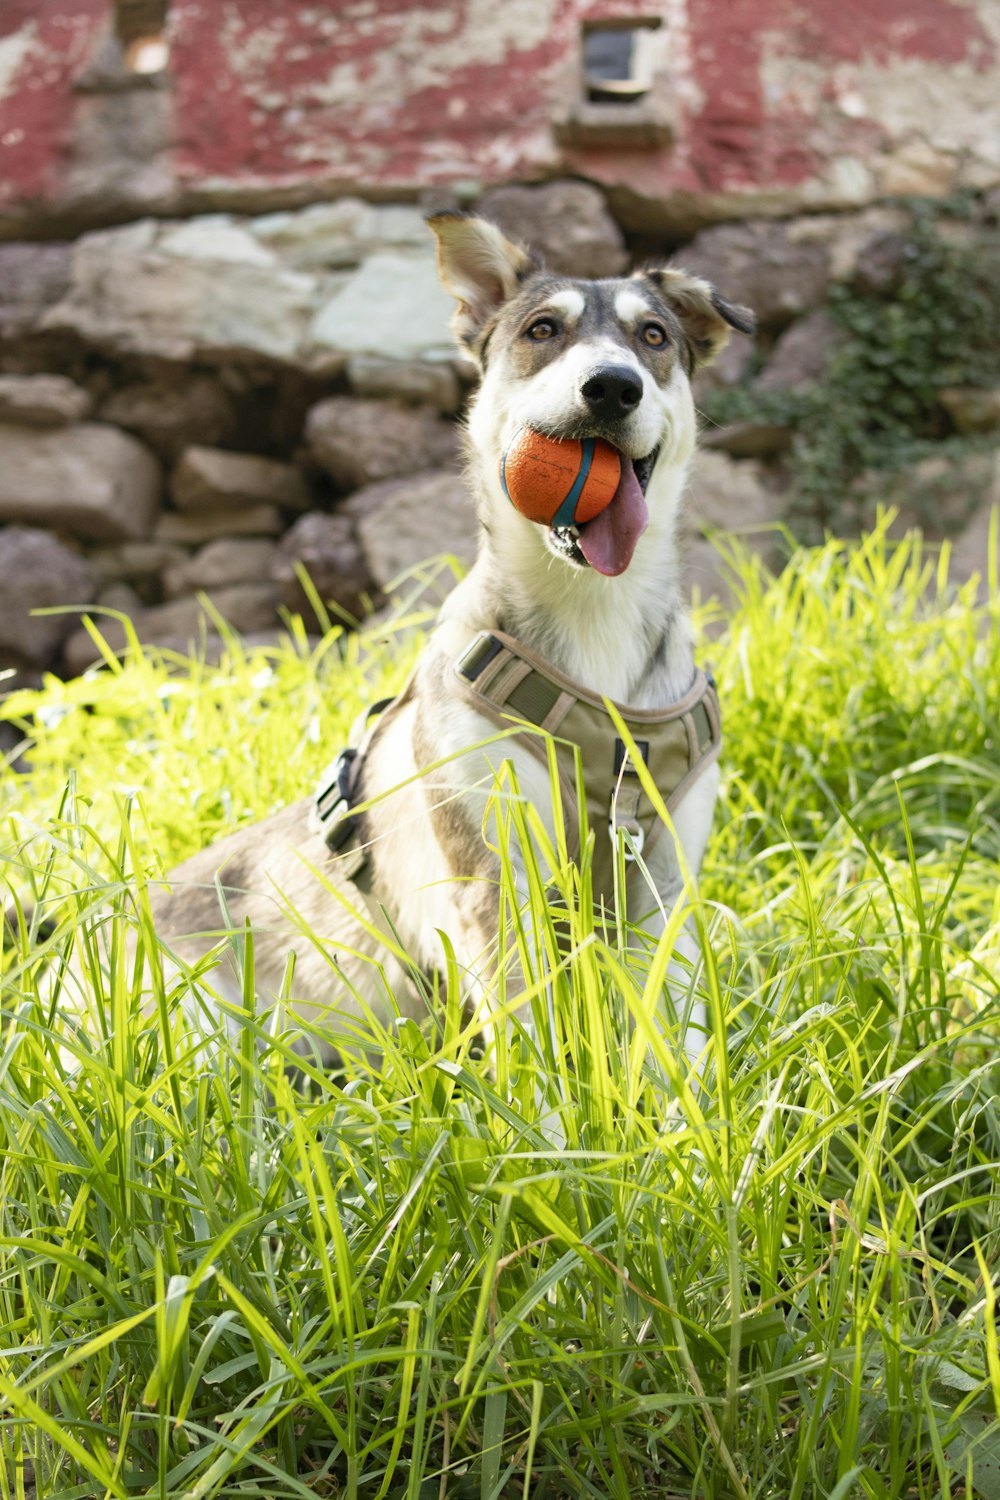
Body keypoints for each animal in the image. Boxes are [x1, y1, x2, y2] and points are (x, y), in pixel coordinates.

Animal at [127, 214, 749, 1080]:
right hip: (197, 1038)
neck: (593, 610)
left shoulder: (665, 877)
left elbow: (674, 1036)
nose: (612, 386)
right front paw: (556, 1118)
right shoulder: (492, 870)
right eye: (541, 330)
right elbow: (532, 1034)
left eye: (653, 336)